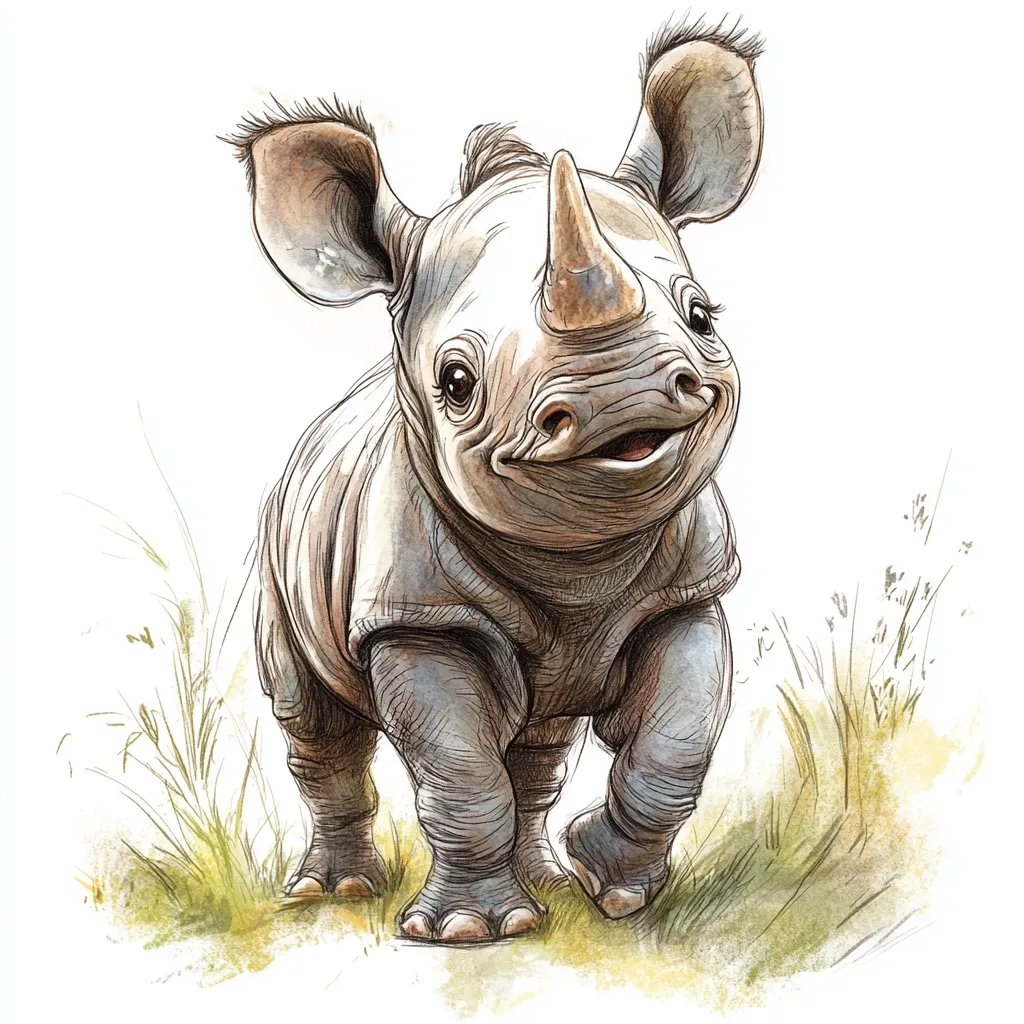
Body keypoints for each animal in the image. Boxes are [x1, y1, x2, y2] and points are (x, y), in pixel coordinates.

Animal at [226, 16, 764, 944]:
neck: (580, 560)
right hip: (281, 554)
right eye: (455, 382)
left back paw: (548, 878)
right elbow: (458, 765)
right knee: (316, 725)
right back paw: (337, 891)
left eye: (702, 316)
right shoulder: (415, 615)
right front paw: (467, 933)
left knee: (539, 744)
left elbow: (678, 736)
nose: (623, 403)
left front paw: (614, 888)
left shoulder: (688, 590)